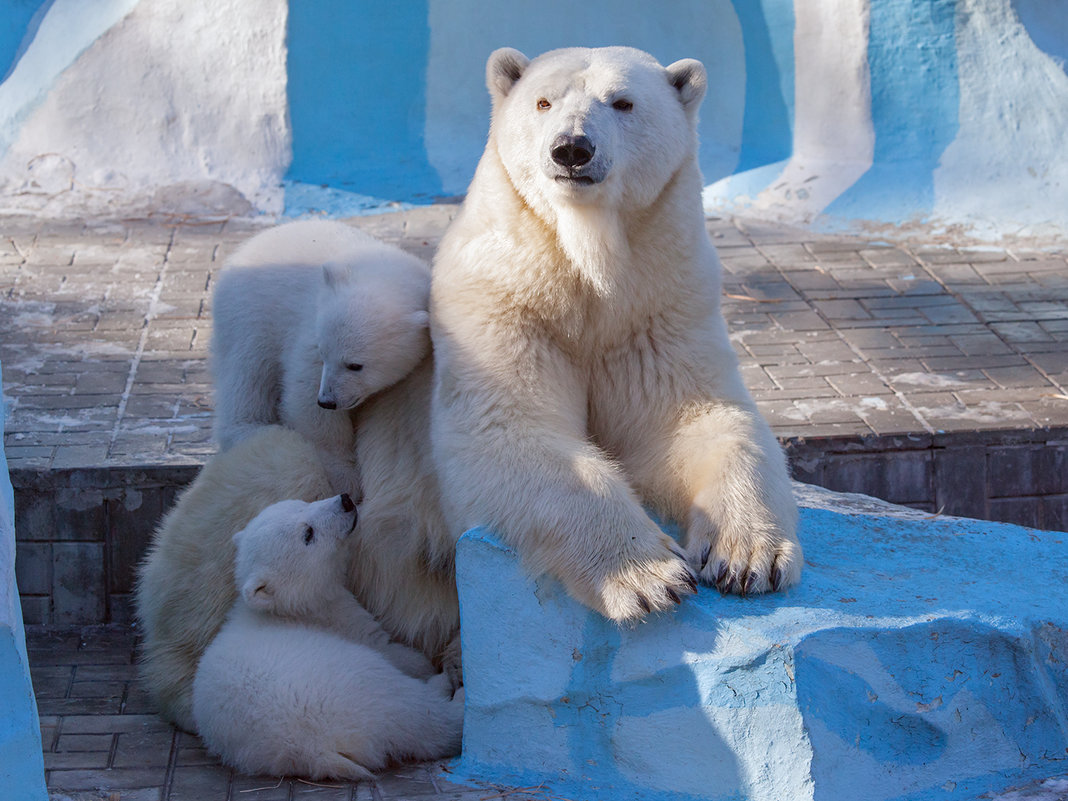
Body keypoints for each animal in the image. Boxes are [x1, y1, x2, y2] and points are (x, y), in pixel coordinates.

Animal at [429, 46, 798, 619]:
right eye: (543, 101)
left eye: (622, 102)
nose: (572, 149)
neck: (586, 269)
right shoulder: (504, 302)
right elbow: (512, 427)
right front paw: (648, 575)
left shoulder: (658, 311)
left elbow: (699, 419)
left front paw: (748, 556)